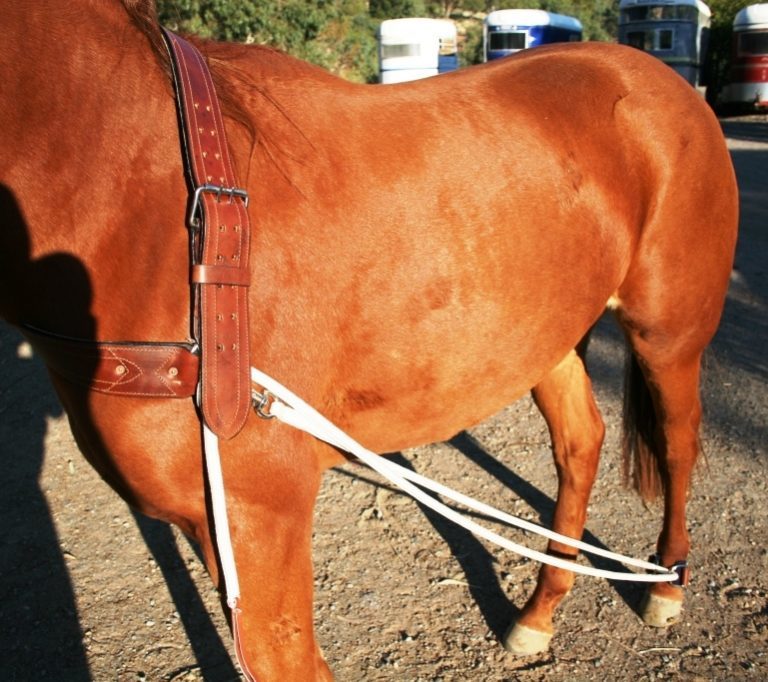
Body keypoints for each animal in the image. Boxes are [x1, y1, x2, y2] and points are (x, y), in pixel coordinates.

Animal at [0, 1, 738, 679]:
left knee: (678, 441)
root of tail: (660, 80)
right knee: (581, 443)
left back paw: (667, 585)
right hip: (545, 337)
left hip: (667, 334)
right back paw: (539, 613)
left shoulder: (258, 526)